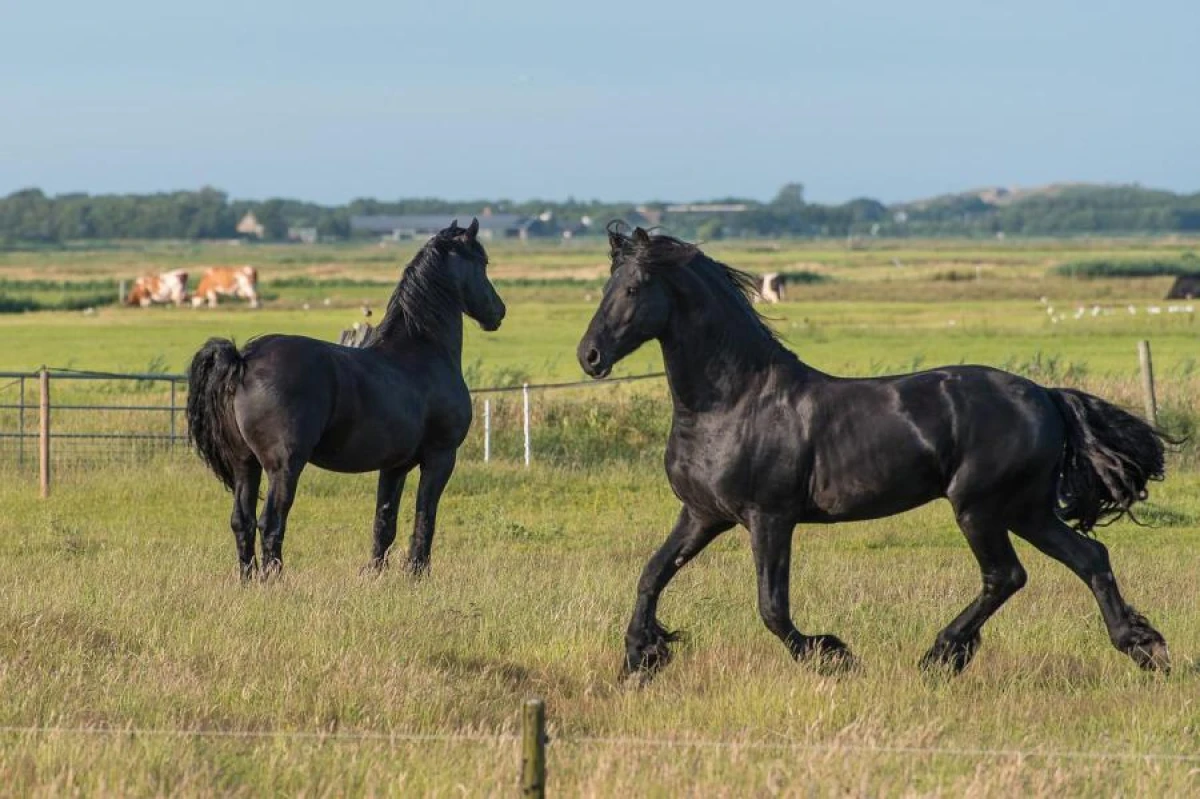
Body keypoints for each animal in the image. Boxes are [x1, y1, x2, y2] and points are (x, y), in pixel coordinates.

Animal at [187, 219, 505, 579]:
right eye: (482, 263)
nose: (499, 311)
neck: (422, 351)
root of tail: (244, 359)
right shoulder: (439, 457)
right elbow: (425, 517)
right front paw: (417, 574)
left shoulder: (394, 466)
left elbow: (384, 521)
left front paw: (376, 574)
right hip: (284, 467)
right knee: (271, 521)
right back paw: (274, 581)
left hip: (246, 465)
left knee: (243, 522)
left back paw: (249, 579)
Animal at [577, 224, 1172, 680]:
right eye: (608, 284)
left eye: (634, 287)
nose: (590, 356)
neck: (733, 401)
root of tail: (1045, 396)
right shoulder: (702, 514)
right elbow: (652, 574)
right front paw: (640, 657)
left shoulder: (769, 517)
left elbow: (773, 608)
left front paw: (834, 656)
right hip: (1024, 509)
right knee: (1088, 557)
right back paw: (1144, 648)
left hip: (980, 507)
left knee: (1006, 575)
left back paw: (940, 655)